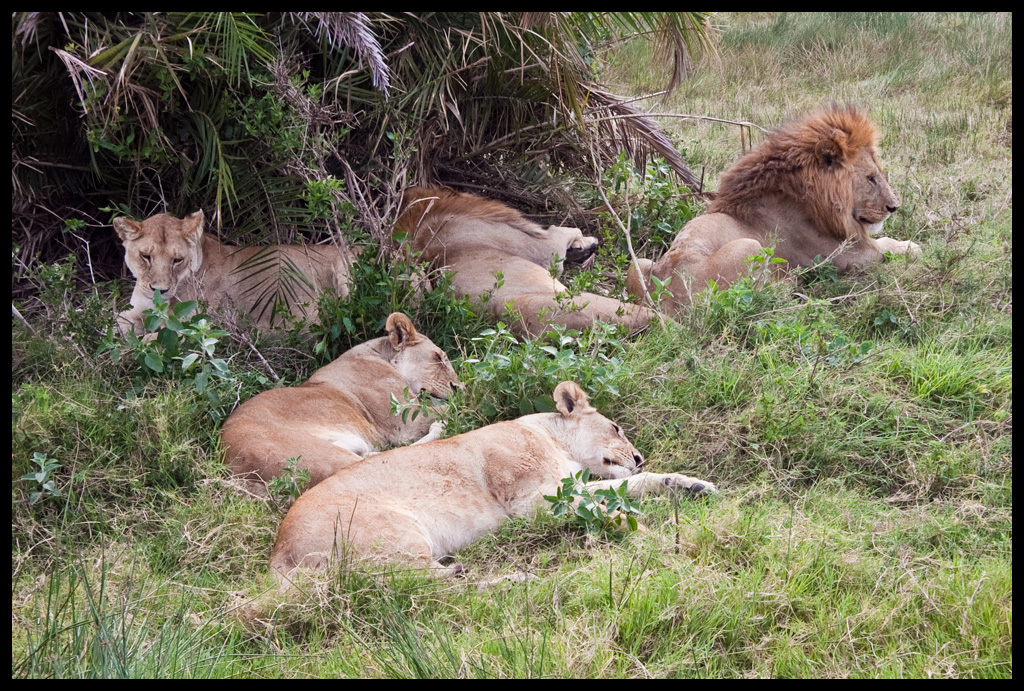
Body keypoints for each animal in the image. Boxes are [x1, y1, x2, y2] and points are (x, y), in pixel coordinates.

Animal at [113, 210, 355, 336]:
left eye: (177, 260)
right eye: (146, 256)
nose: (159, 290)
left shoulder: (195, 327)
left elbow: (150, 341)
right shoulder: (134, 313)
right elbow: (115, 323)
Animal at [221, 312, 462, 496]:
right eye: (439, 357)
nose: (459, 387)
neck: (382, 355)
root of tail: (231, 465)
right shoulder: (403, 420)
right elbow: (451, 407)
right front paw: (465, 399)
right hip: (313, 455)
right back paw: (439, 429)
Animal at [269, 380, 717, 584]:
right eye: (617, 428)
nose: (639, 458)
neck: (557, 443)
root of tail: (279, 551)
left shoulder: (564, 486)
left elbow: (629, 489)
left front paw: (692, 485)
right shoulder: (531, 502)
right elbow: (603, 506)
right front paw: (647, 533)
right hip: (393, 534)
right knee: (421, 588)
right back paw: (517, 579)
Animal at [627, 107, 921, 314]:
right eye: (871, 178)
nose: (894, 207)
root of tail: (664, 301)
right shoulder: (844, 257)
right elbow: (884, 246)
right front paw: (911, 247)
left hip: (638, 263)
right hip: (751, 246)